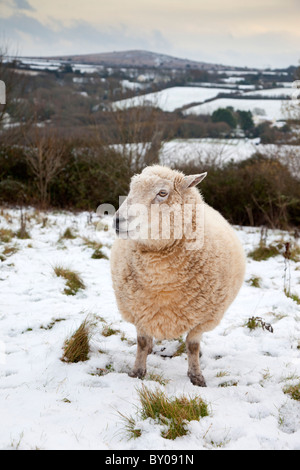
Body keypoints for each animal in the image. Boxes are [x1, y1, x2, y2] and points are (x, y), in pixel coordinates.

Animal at [110, 165, 246, 386]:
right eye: (131, 189)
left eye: (162, 193)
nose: (117, 221)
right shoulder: (139, 309)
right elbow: (142, 342)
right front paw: (137, 372)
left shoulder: (203, 318)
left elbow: (192, 346)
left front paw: (196, 377)